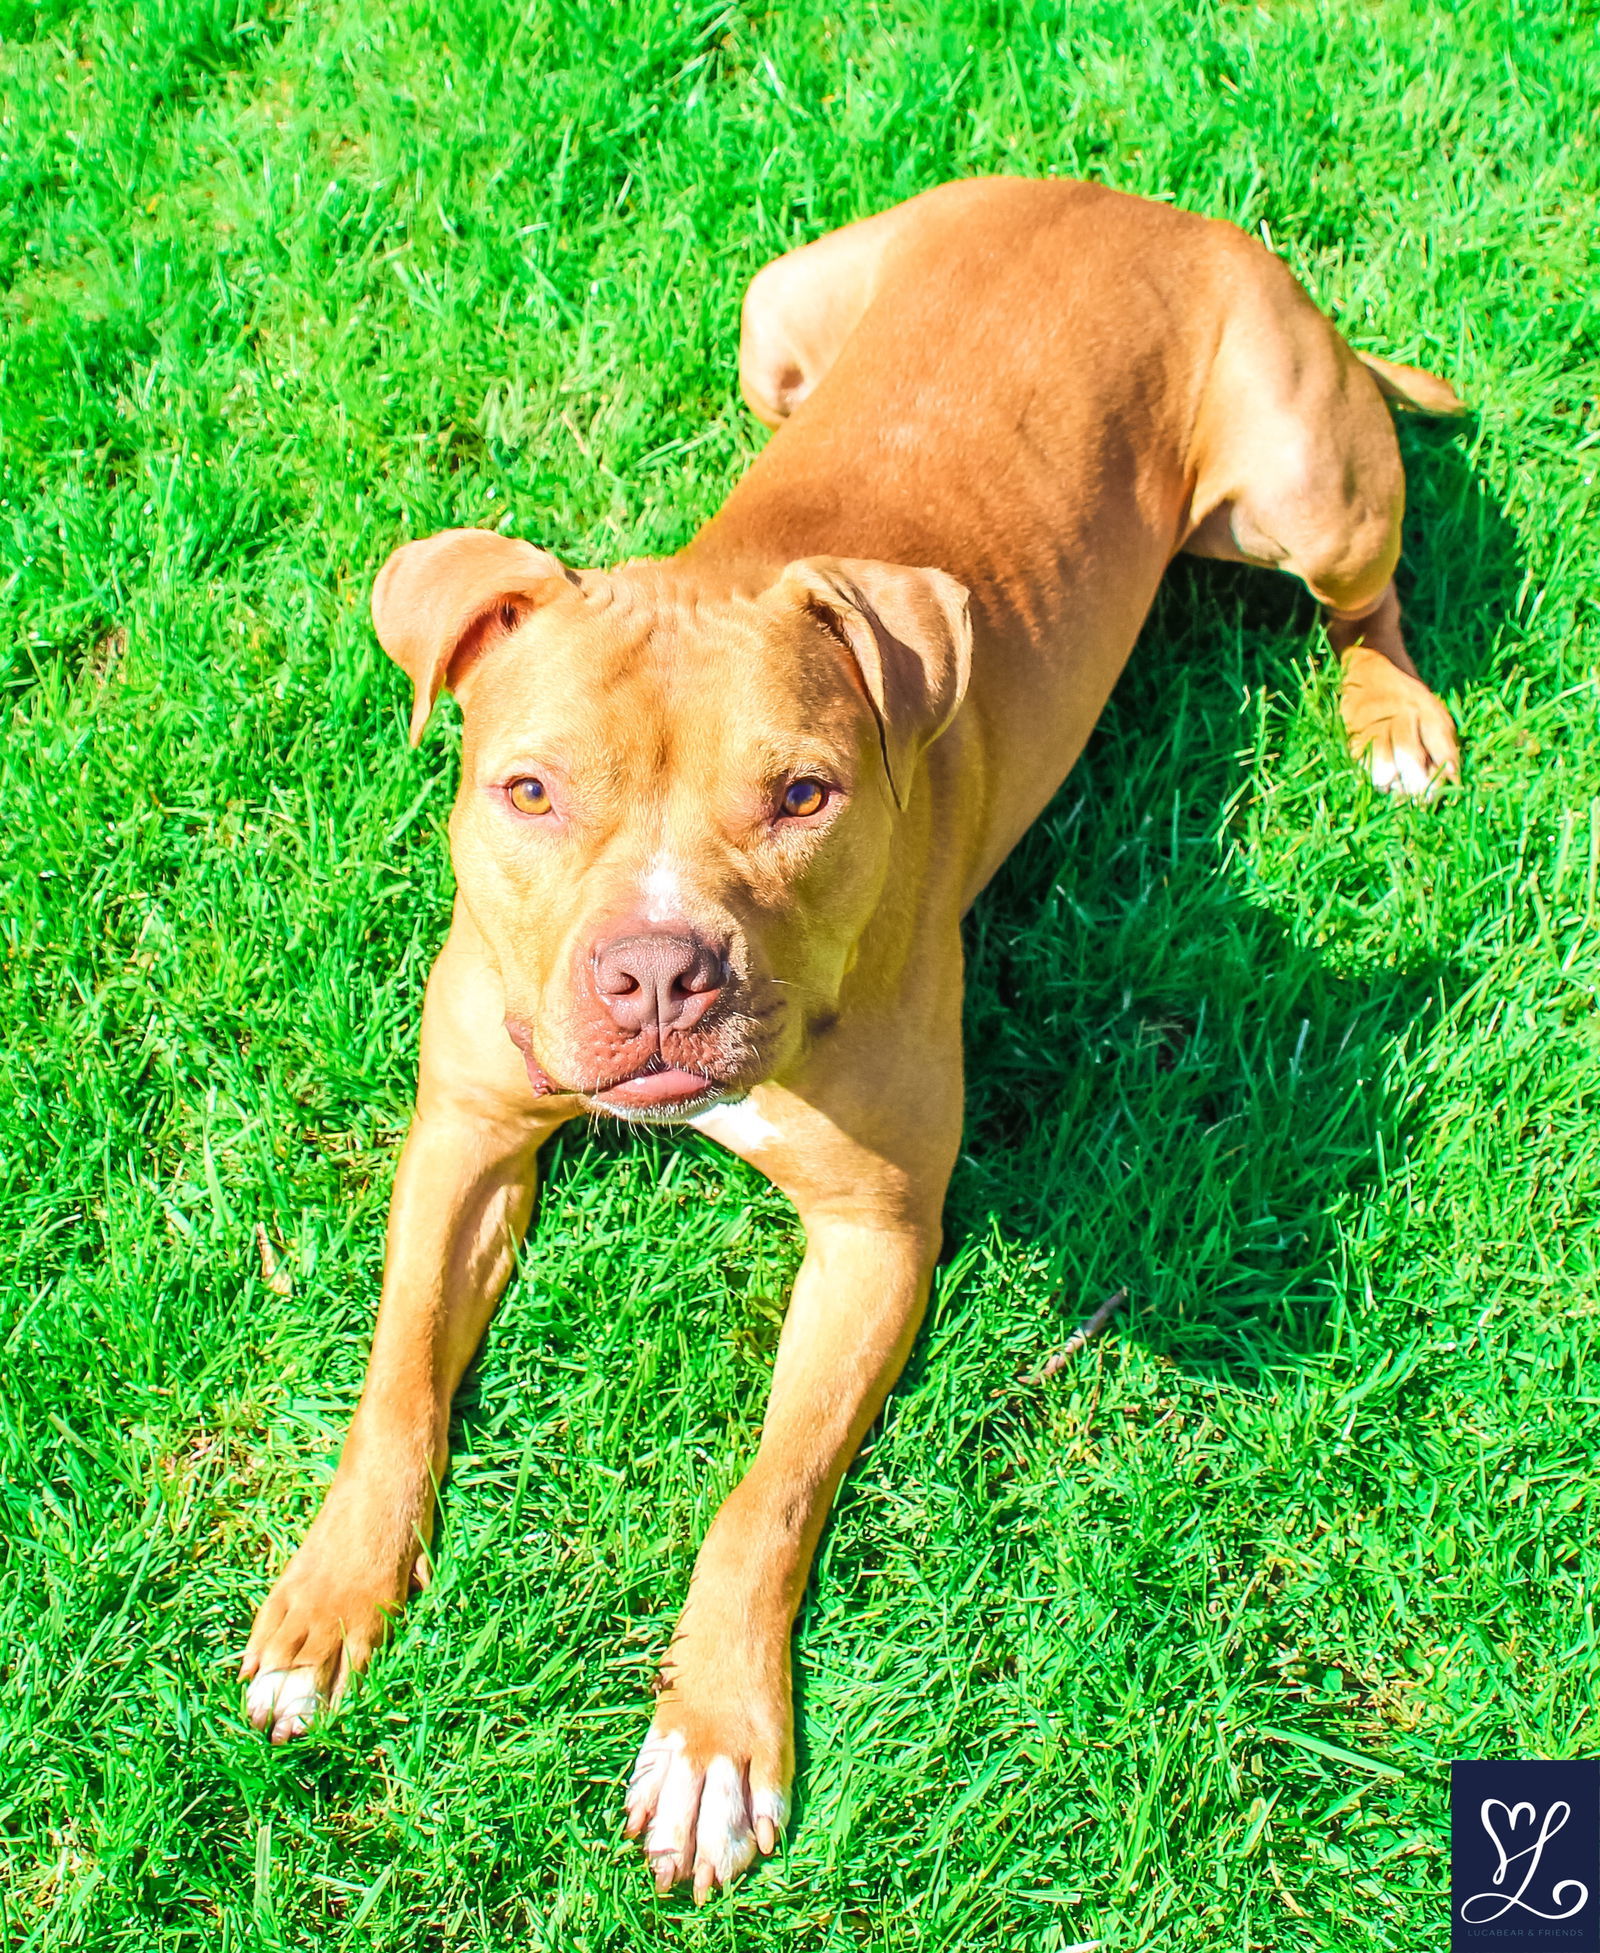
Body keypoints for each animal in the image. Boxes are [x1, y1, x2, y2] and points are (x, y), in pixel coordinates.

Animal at [241, 179, 1461, 1890]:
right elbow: (399, 1371)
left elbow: (761, 1493)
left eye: (802, 795)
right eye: (529, 789)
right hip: (778, 321)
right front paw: (332, 1593)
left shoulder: (880, 1231)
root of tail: (1134, 198)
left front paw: (712, 1739)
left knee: (1370, 591)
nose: (660, 973)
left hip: (1308, 486)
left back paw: (1394, 716)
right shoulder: (469, 1135)